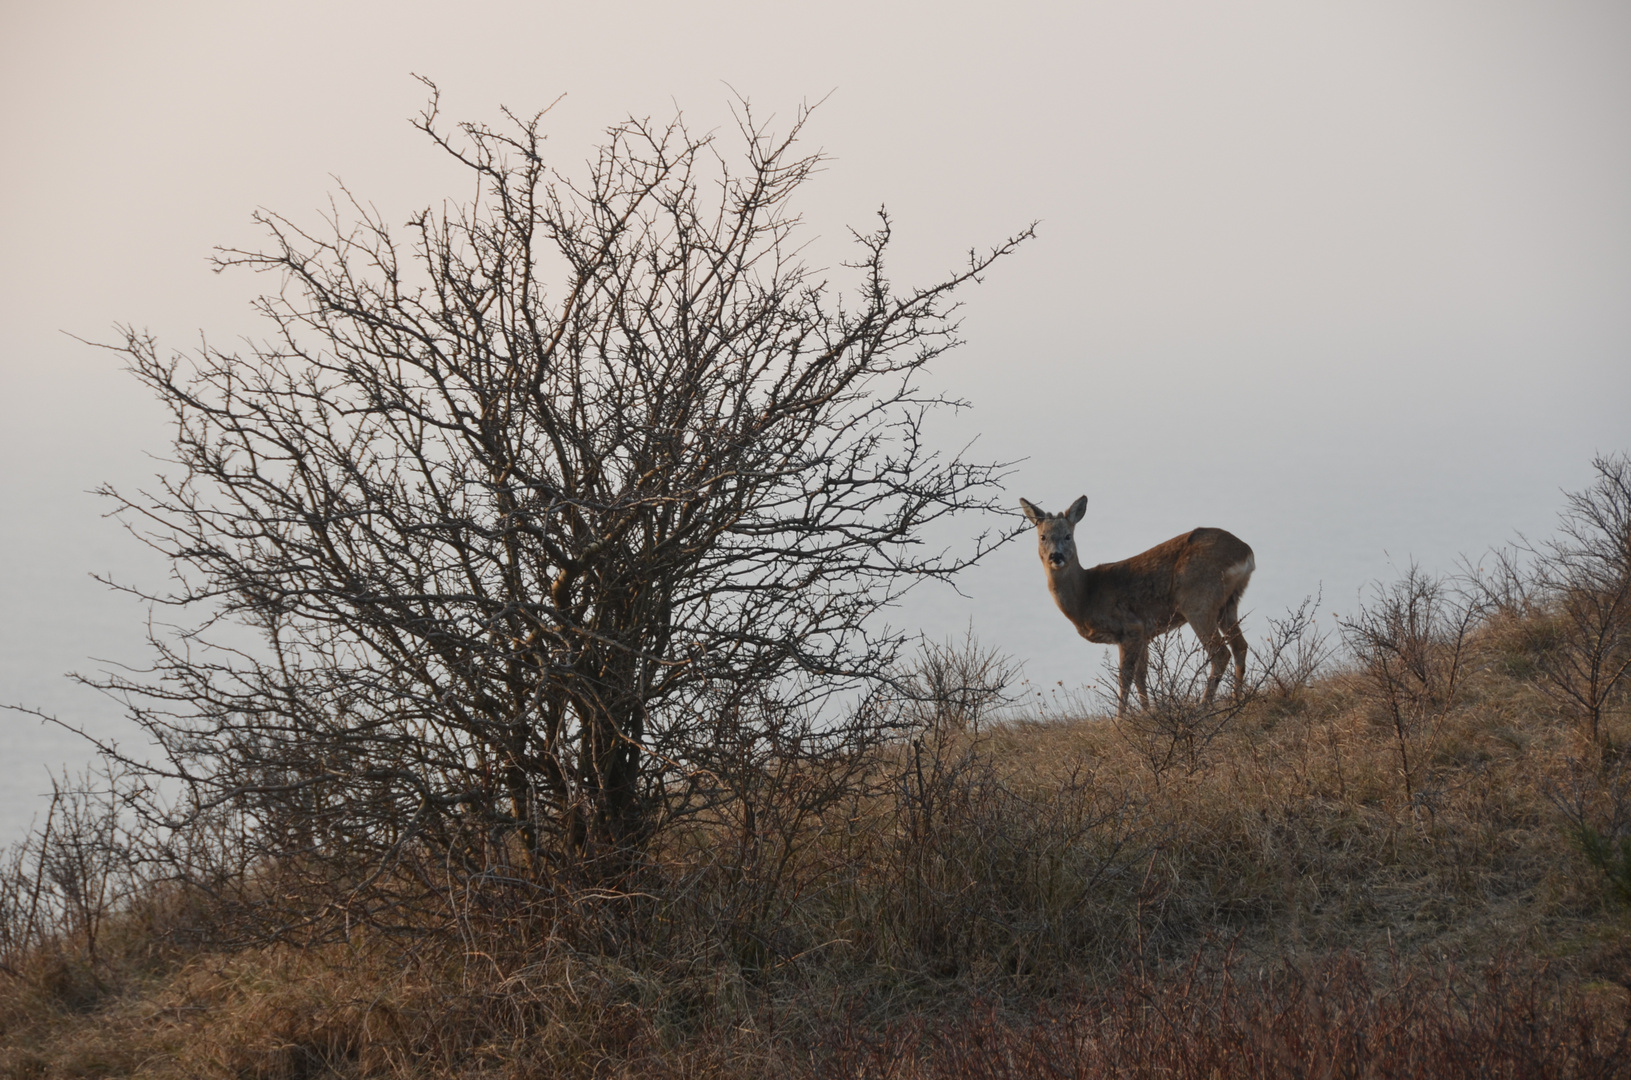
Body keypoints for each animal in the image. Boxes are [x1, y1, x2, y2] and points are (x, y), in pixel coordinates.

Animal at [1017, 495, 1259, 717]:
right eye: (1043, 536)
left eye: (1068, 536)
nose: (1056, 556)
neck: (1086, 595)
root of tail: (1246, 552)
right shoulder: (1144, 633)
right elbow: (1141, 675)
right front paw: (1147, 713)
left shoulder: (1130, 627)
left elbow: (1125, 677)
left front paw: (1120, 720)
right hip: (1228, 603)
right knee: (1240, 646)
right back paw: (1236, 701)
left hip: (1198, 600)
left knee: (1221, 653)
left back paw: (1203, 707)